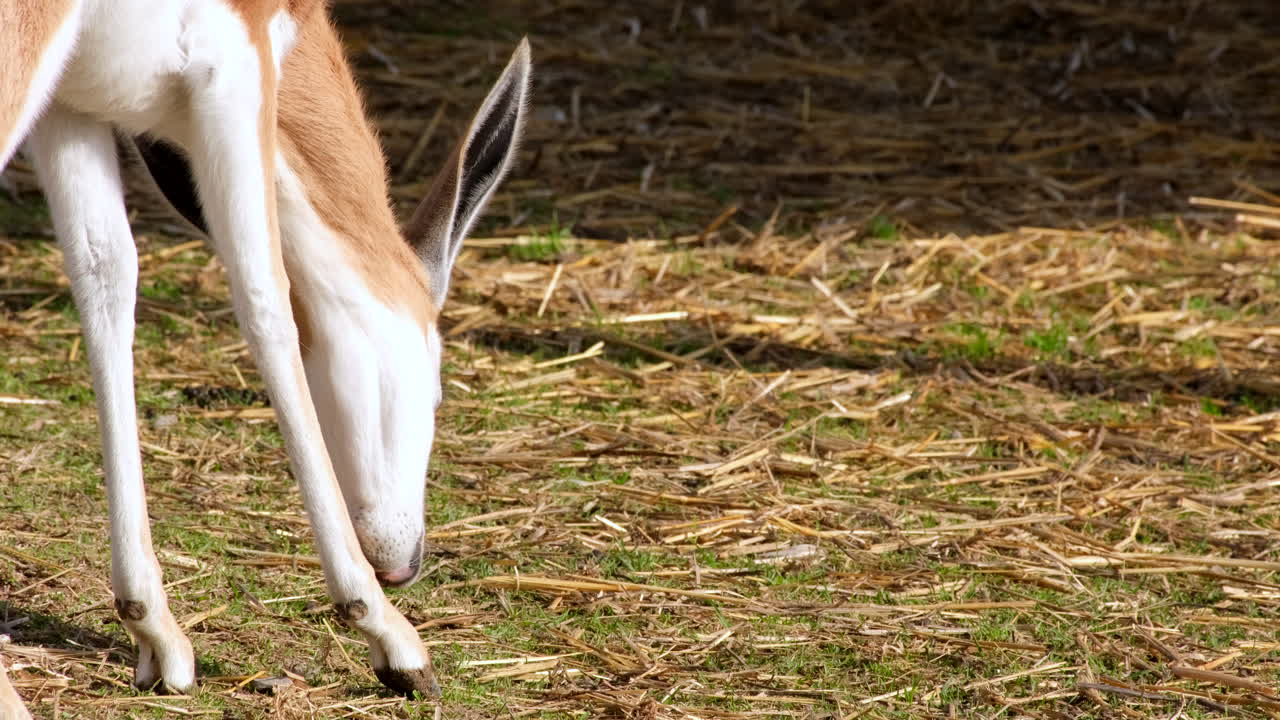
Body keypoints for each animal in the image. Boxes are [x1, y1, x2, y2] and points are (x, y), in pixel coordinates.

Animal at [0, 0, 529, 702]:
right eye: (440, 388)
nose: (405, 563)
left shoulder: (72, 104)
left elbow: (105, 272)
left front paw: (156, 632)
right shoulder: (236, 65)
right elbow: (265, 295)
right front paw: (389, 636)